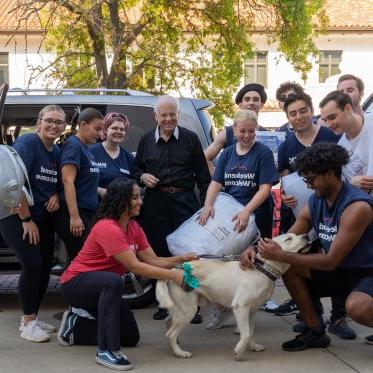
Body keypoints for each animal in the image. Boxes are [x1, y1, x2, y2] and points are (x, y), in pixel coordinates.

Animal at [155, 232, 310, 358]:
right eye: (289, 239)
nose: (307, 235)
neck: (262, 268)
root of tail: (175, 269)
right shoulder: (240, 306)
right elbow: (245, 333)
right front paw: (239, 350)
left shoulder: (251, 311)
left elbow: (250, 331)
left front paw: (252, 346)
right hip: (189, 310)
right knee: (170, 333)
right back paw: (179, 353)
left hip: (181, 309)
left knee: (168, 322)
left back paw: (177, 343)